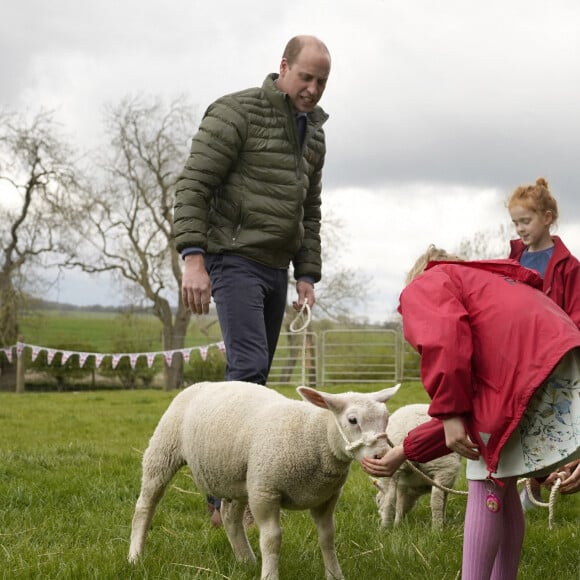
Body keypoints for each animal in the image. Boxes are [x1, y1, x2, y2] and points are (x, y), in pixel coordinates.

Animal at [127, 378, 398, 576]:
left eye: (386, 418)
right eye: (353, 420)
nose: (382, 455)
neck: (312, 434)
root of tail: (203, 383)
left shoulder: (326, 497)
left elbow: (327, 537)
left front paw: (335, 575)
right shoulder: (265, 492)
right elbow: (271, 540)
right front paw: (269, 575)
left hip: (238, 476)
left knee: (229, 516)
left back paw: (245, 559)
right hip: (163, 450)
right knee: (145, 505)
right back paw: (135, 556)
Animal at [372, 404, 462, 532]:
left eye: (378, 501)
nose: (379, 513)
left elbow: (399, 503)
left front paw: (397, 523)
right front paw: (398, 524)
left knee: (390, 497)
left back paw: (384, 528)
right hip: (442, 465)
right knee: (436, 498)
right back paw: (437, 529)